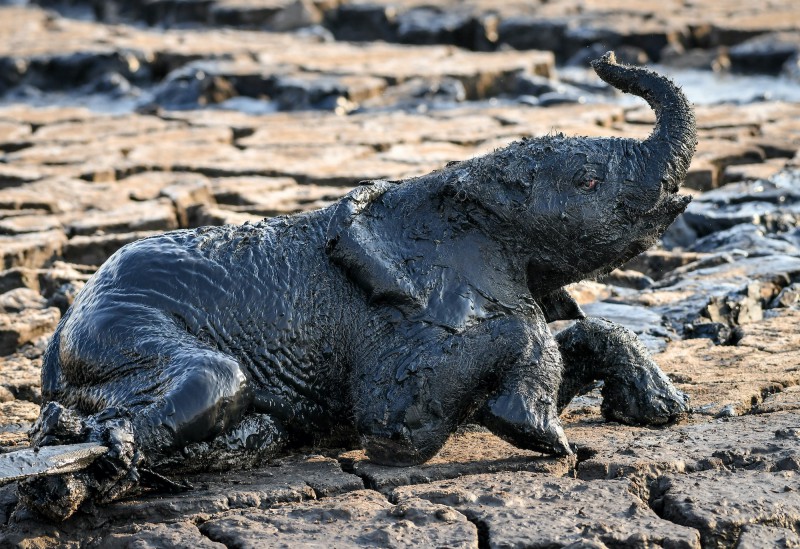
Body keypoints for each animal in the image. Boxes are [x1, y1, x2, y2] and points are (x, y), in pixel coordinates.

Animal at [18, 53, 692, 520]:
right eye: (588, 181)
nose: (604, 59)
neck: (452, 186)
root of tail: (55, 343)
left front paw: (661, 412)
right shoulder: (398, 315)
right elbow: (397, 420)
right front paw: (539, 433)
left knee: (254, 425)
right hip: (116, 325)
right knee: (215, 379)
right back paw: (88, 449)